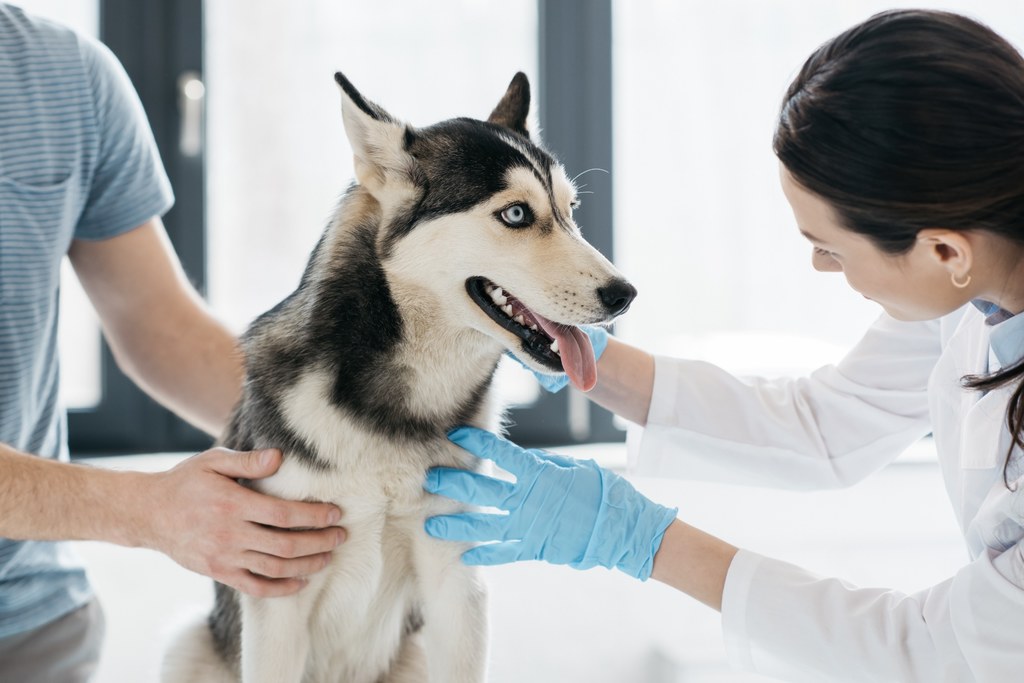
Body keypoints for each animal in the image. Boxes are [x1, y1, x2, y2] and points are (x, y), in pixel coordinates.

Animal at [160, 70, 634, 683]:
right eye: (515, 214)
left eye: (569, 209)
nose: (625, 294)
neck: (392, 412)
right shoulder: (279, 585)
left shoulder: (455, 577)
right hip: (187, 642)